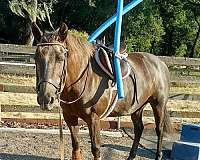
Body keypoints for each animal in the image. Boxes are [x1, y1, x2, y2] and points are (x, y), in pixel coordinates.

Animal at [31, 22, 172, 160]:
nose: (45, 98)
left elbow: (96, 149)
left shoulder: (93, 119)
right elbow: (75, 146)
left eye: (60, 58)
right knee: (139, 129)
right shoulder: (70, 117)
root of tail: (160, 63)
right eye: (36, 57)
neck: (81, 80)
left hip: (158, 104)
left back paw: (158, 155)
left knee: (159, 129)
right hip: (137, 107)